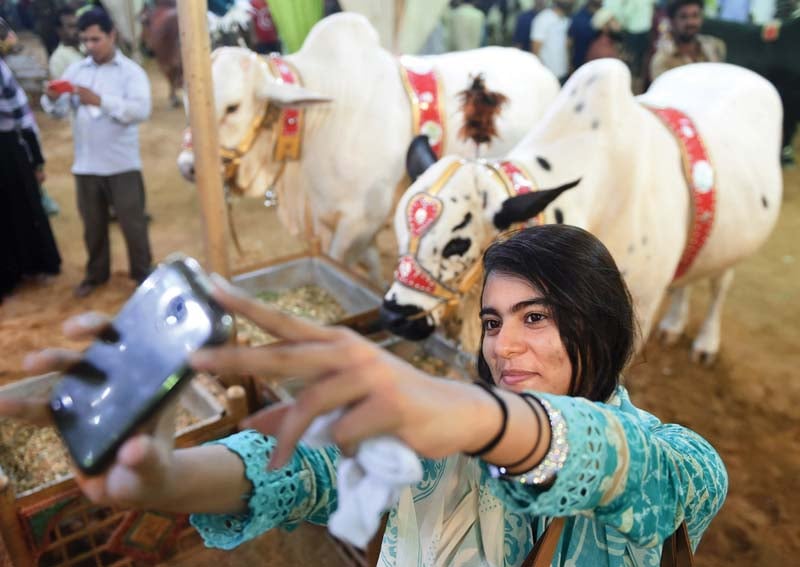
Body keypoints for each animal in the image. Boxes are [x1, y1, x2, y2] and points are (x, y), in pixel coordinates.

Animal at [178, 12, 560, 280]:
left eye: (232, 108)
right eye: (188, 100)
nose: (188, 166)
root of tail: (543, 69)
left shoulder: (361, 219)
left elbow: (341, 261)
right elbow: (370, 264)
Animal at [382, 58, 780, 364]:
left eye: (457, 245)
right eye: (400, 233)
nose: (395, 315)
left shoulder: (639, 310)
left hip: (737, 248)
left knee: (719, 285)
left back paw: (706, 343)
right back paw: (674, 324)